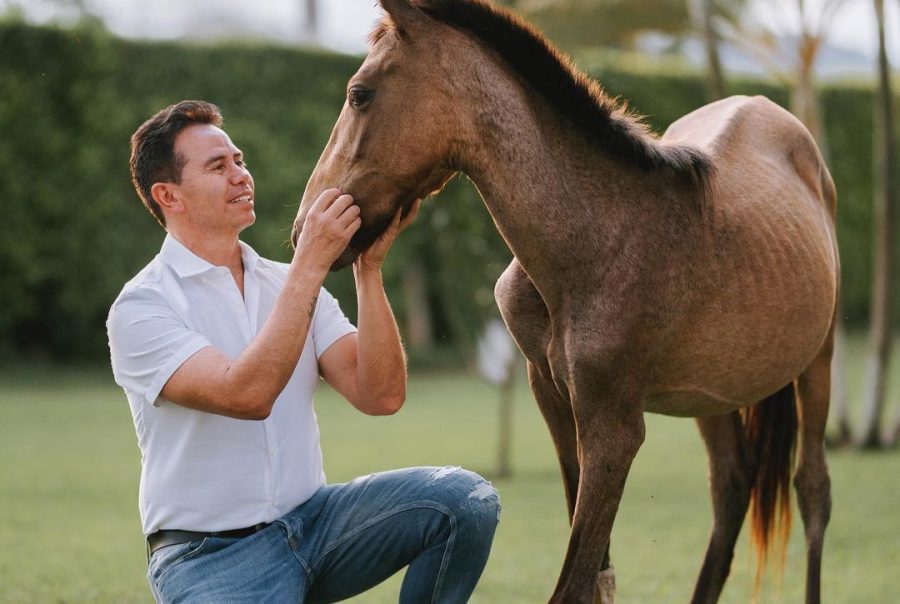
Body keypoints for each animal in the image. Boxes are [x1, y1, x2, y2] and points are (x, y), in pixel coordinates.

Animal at [291, 1, 838, 602]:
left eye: (359, 92)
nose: (302, 228)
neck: (599, 238)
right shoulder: (553, 397)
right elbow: (597, 572)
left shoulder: (614, 429)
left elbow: (575, 581)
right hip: (711, 394)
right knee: (733, 486)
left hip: (817, 361)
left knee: (813, 490)